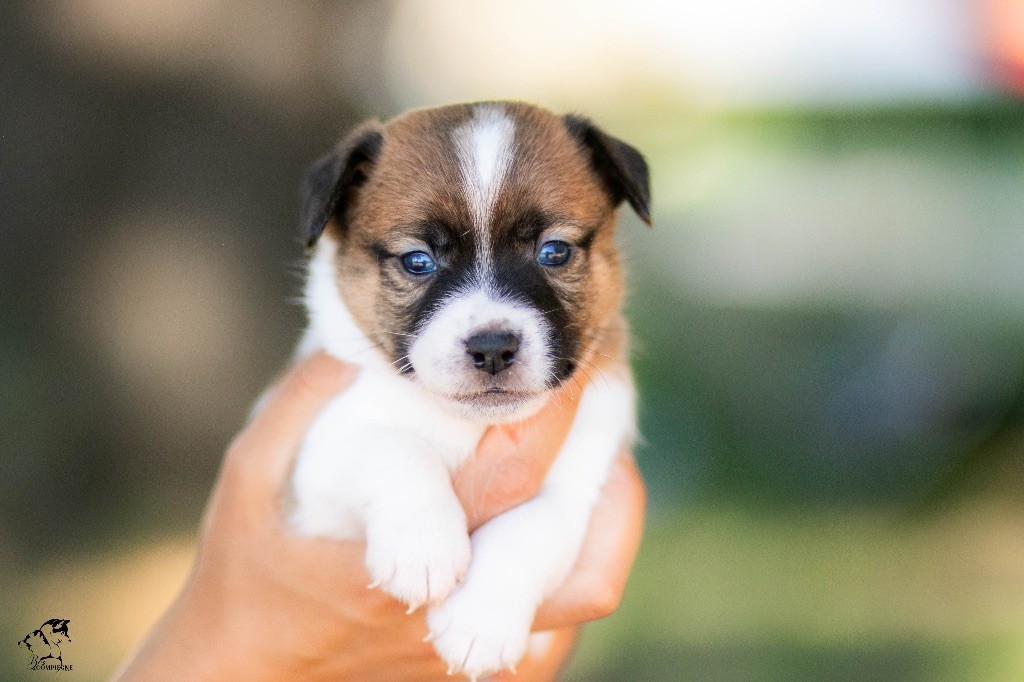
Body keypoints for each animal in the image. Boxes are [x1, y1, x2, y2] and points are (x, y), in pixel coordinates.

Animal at [288, 99, 647, 675]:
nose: (493, 348)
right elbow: (395, 447)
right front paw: (423, 547)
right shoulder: (314, 462)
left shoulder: (579, 488)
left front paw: (480, 622)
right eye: (418, 261)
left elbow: (528, 530)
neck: (467, 425)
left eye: (554, 251)